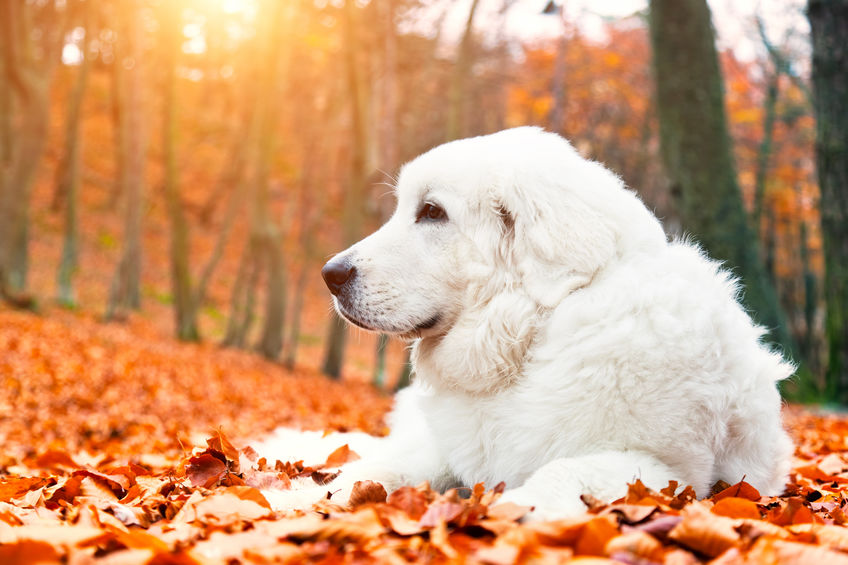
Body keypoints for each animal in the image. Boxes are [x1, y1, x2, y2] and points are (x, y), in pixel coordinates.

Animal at [260, 128, 796, 520]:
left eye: (432, 212)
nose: (330, 274)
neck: (532, 335)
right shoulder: (448, 449)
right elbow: (376, 472)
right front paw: (295, 500)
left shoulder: (661, 470)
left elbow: (558, 474)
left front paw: (504, 512)